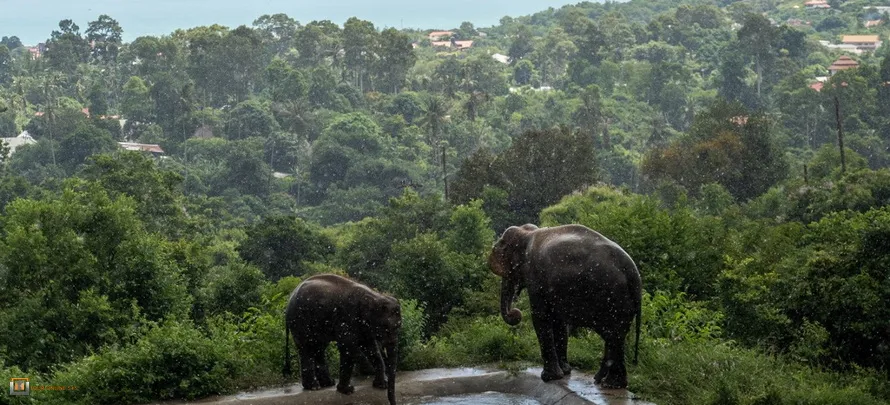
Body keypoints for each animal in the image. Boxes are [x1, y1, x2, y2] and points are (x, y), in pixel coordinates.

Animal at [283, 273, 401, 405]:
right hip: (299, 321)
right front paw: (348, 390)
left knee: (319, 348)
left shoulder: (364, 326)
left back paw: (327, 383)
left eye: (399, 326)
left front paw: (381, 385)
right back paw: (314, 387)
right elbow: (348, 347)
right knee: (307, 348)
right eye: (385, 327)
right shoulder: (347, 317)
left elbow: (371, 348)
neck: (375, 296)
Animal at [489, 224, 642, 388]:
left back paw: (608, 383)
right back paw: (607, 382)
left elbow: (540, 317)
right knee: (616, 335)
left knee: (612, 334)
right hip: (622, 301)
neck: (528, 232)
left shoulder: (536, 276)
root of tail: (633, 272)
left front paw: (549, 377)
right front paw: (565, 372)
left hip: (610, 296)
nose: (516, 313)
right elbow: (559, 321)